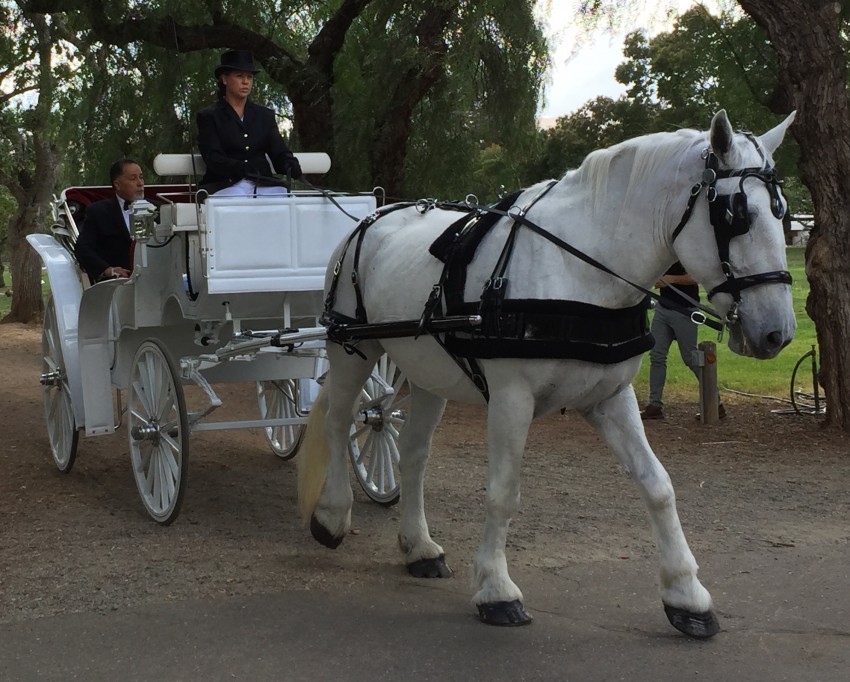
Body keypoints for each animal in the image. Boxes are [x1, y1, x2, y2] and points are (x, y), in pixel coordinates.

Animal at [297, 110, 797, 637]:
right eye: (736, 215)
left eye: (783, 214)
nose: (778, 332)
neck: (580, 272)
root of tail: (375, 215)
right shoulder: (511, 399)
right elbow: (503, 493)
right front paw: (497, 589)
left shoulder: (611, 398)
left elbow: (658, 485)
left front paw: (686, 595)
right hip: (353, 348)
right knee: (338, 423)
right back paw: (331, 516)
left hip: (428, 372)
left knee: (412, 454)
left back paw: (419, 546)